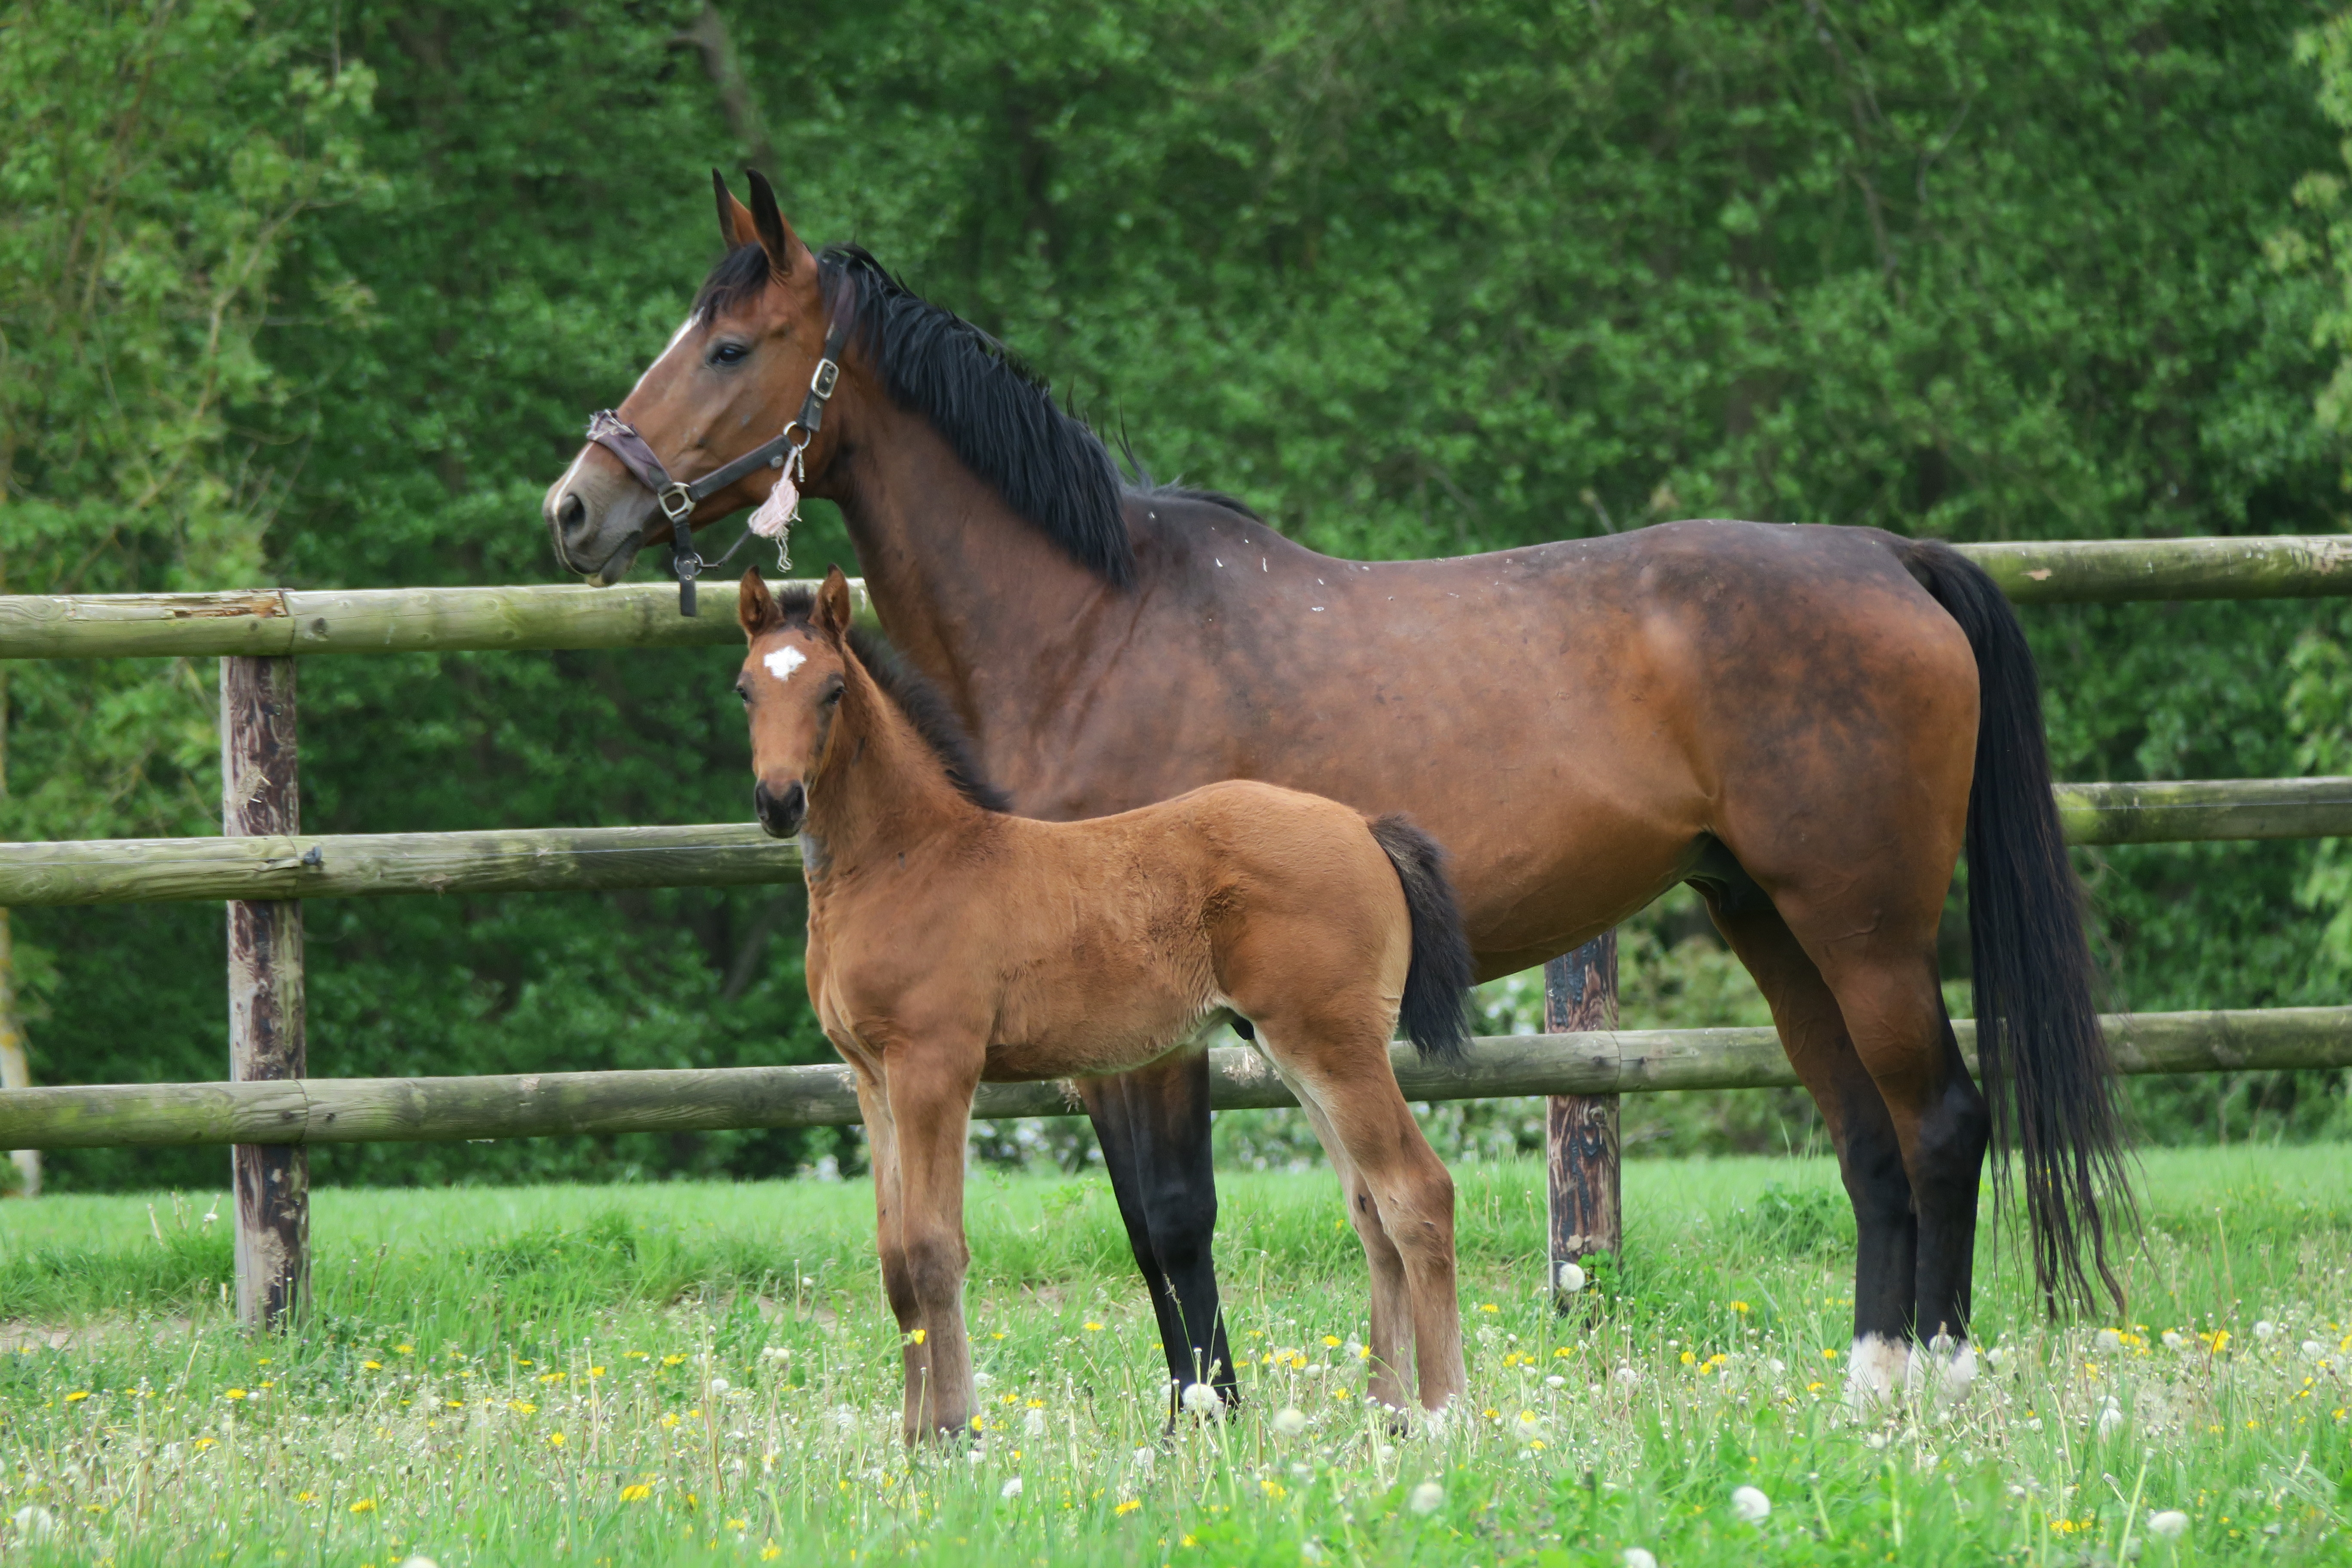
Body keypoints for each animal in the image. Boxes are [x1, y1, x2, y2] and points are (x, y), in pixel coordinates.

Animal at [734, 571, 1467, 1439]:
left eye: (833, 690)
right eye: (745, 689)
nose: (779, 800)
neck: (906, 860)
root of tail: (1362, 824)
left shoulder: (934, 1066)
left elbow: (933, 1248)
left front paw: (956, 1431)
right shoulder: (870, 1077)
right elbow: (892, 1261)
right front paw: (912, 1437)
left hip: (1334, 1044)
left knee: (1416, 1193)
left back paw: (1445, 1410)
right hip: (1299, 1052)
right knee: (1369, 1209)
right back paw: (1384, 1411)